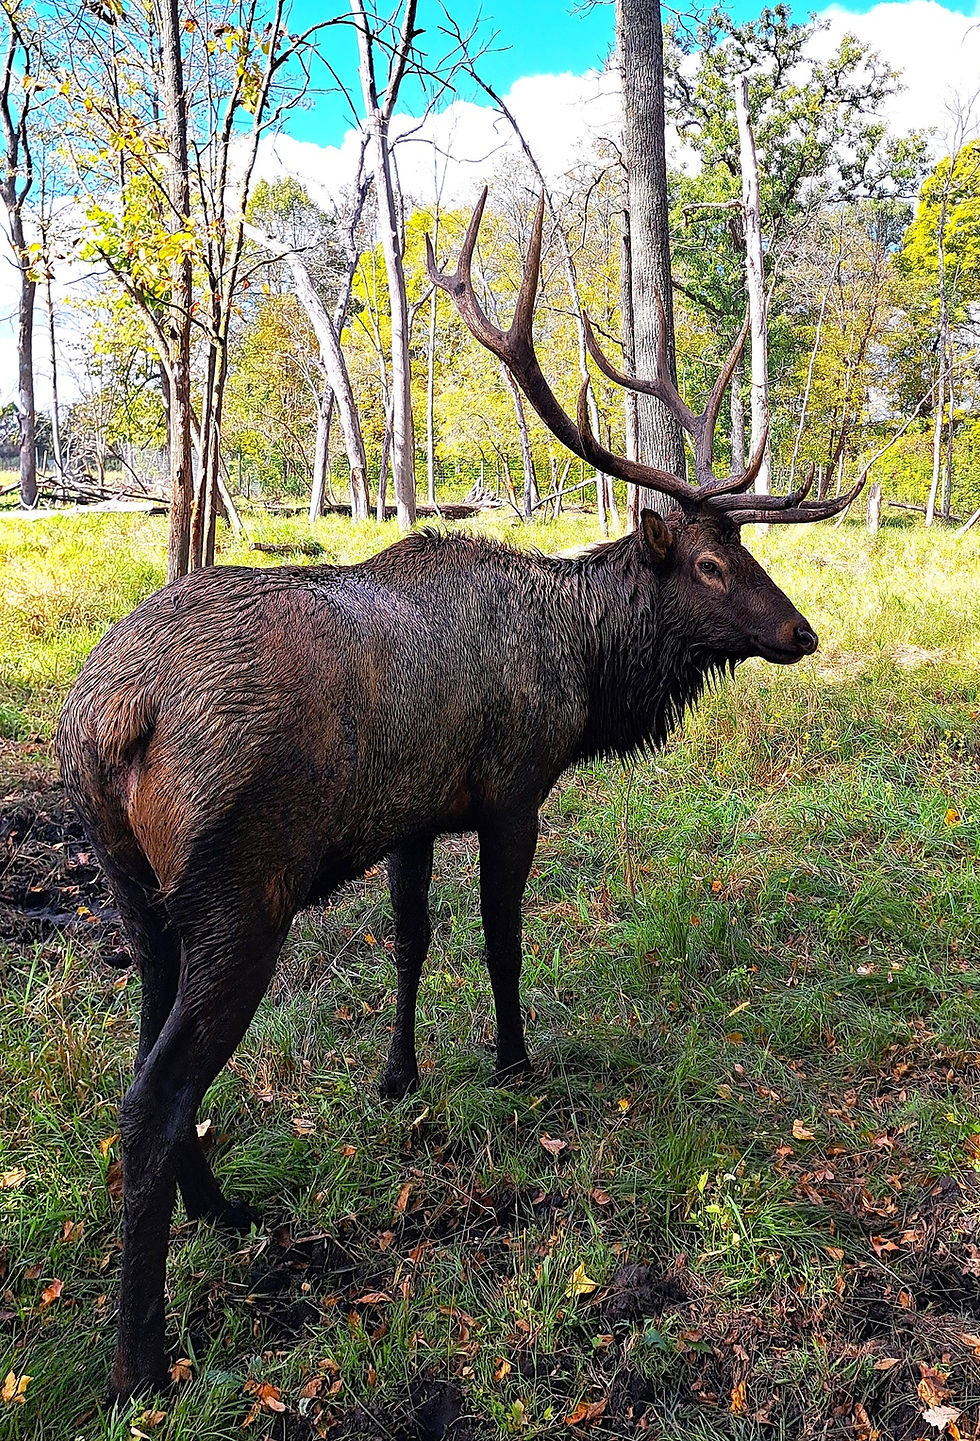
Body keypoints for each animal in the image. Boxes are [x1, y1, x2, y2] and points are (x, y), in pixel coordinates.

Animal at [56, 190, 864, 1399]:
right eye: (711, 567)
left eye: (743, 551)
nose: (801, 632)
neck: (583, 672)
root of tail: (114, 714)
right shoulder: (514, 787)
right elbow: (499, 937)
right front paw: (512, 1060)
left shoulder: (414, 811)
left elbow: (409, 936)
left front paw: (400, 1076)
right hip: (239, 888)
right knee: (151, 1095)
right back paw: (143, 1361)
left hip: (133, 891)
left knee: (149, 1051)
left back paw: (224, 1208)